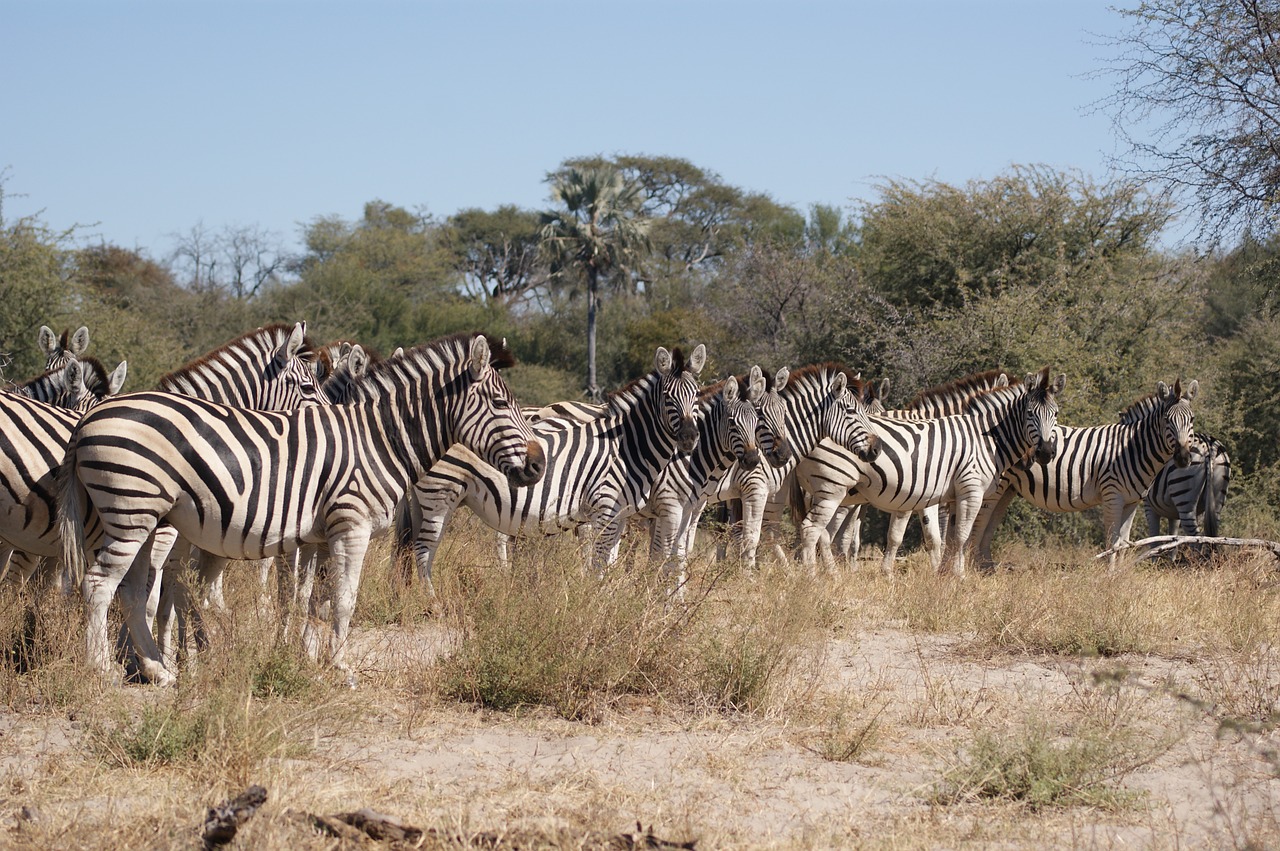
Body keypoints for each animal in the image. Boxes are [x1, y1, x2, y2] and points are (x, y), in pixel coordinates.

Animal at [61, 332, 540, 685]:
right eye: (501, 403)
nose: (538, 464)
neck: (376, 440)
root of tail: (88, 419)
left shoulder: (318, 536)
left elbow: (312, 601)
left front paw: (306, 659)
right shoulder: (351, 525)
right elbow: (344, 600)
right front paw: (340, 666)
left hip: (147, 519)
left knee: (132, 589)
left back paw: (158, 670)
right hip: (131, 514)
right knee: (100, 584)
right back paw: (101, 670)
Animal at [404, 345, 706, 583]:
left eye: (697, 395)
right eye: (667, 398)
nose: (690, 438)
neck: (628, 447)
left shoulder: (621, 516)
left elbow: (610, 563)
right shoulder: (604, 508)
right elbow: (599, 564)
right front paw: (595, 603)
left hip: (431, 500)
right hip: (440, 496)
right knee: (423, 551)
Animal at [793, 365, 1064, 573]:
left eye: (1056, 414)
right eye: (1030, 413)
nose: (1044, 453)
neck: (983, 436)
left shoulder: (949, 495)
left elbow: (949, 538)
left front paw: (944, 575)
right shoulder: (966, 491)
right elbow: (953, 536)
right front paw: (957, 577)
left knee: (827, 533)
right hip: (834, 487)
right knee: (818, 530)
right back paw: (818, 575)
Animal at [972, 376, 1192, 568]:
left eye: (1192, 419)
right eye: (1167, 420)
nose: (1183, 458)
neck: (1131, 449)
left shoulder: (1132, 501)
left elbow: (1124, 542)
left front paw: (1121, 573)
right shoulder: (1112, 495)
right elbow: (1112, 541)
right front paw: (1110, 574)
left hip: (1007, 488)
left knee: (988, 527)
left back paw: (986, 569)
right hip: (996, 485)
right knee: (978, 523)